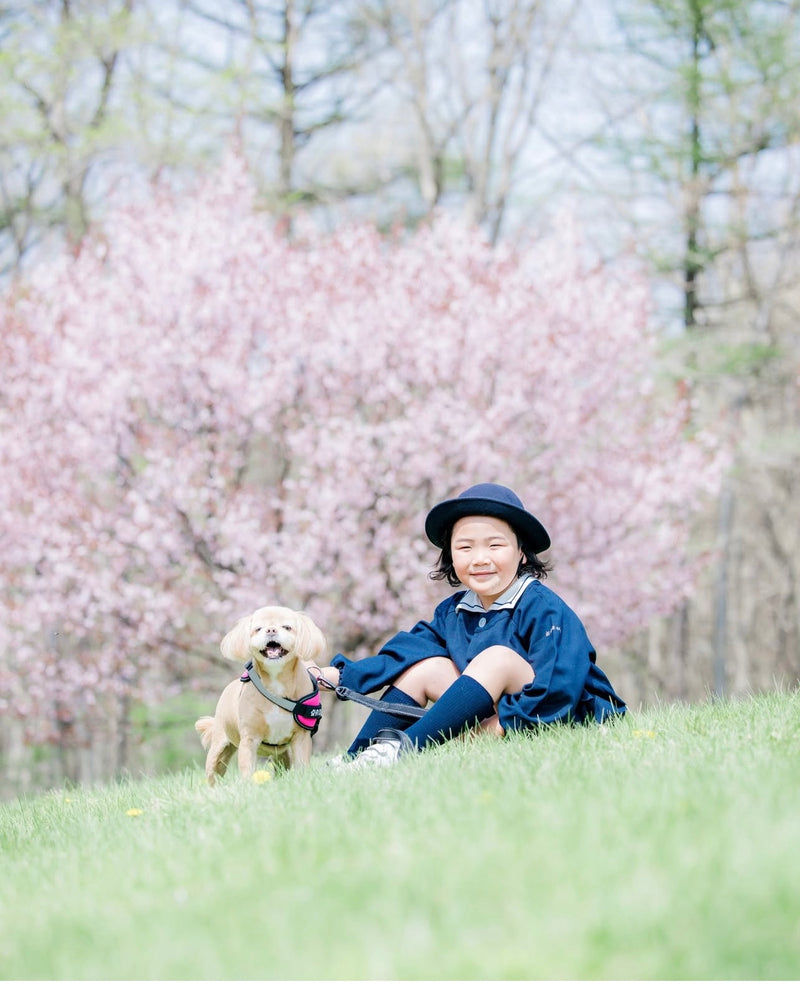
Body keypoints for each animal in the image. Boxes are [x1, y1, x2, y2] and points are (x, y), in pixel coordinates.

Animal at [195, 604, 326, 784]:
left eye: (287, 627)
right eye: (258, 629)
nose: (271, 630)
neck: (276, 679)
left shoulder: (301, 737)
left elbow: (301, 765)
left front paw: (301, 781)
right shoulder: (249, 739)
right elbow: (247, 769)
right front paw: (248, 786)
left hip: (281, 754)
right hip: (219, 749)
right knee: (213, 774)